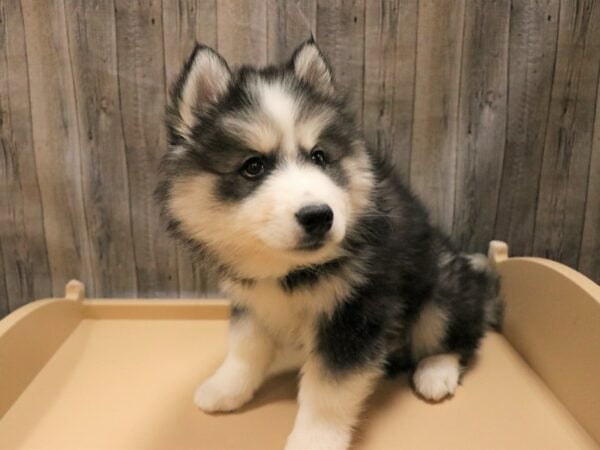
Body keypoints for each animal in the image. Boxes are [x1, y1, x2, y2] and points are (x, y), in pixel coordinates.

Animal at [157, 39, 504, 450]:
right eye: (253, 166)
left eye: (319, 156)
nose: (318, 216)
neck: (286, 270)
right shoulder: (252, 299)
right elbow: (244, 347)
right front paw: (226, 387)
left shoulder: (355, 314)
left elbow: (328, 391)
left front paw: (314, 439)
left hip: (442, 289)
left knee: (461, 336)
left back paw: (436, 371)